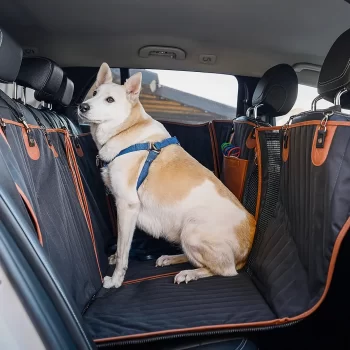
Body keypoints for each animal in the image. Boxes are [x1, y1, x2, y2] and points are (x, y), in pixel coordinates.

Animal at [78, 63, 254, 288]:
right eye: (94, 93)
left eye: (109, 100)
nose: (82, 107)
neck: (127, 130)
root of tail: (246, 251)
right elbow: (120, 245)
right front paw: (114, 258)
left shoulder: (127, 206)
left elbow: (123, 252)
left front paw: (116, 280)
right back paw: (170, 258)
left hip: (192, 229)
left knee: (224, 270)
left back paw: (189, 273)